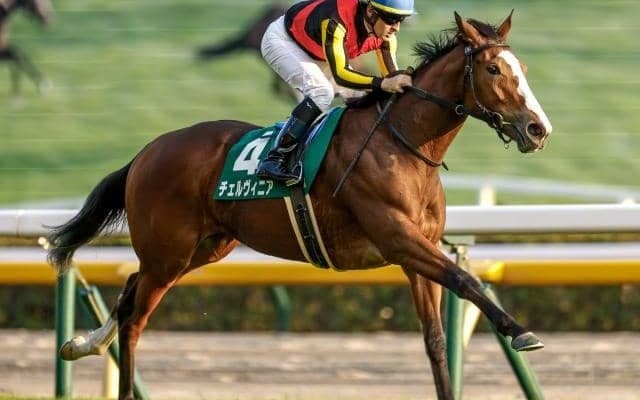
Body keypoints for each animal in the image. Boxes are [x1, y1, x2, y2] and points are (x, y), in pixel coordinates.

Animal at [48, 11, 552, 400]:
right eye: (493, 69)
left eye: (523, 66)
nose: (538, 129)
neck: (403, 144)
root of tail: (147, 152)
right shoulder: (398, 238)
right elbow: (467, 280)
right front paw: (520, 331)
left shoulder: (417, 252)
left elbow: (435, 339)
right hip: (169, 250)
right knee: (135, 319)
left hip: (200, 249)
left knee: (130, 290)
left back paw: (81, 344)